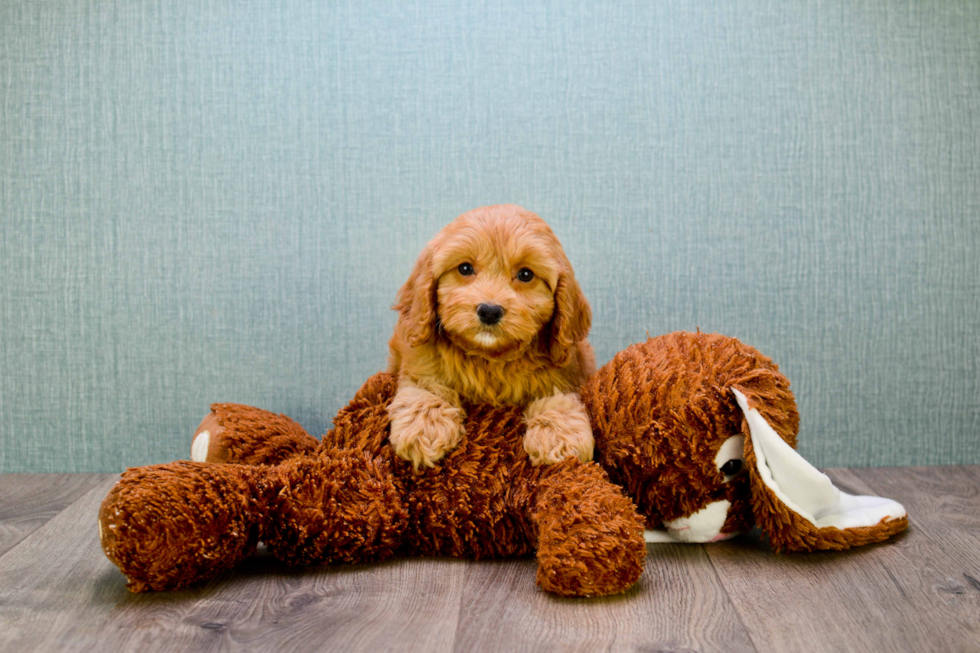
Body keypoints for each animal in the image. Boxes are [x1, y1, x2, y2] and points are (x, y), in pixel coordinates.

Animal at [386, 206, 592, 466]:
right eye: (465, 268)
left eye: (526, 274)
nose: (489, 311)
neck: (489, 358)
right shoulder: (421, 362)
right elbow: (426, 387)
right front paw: (424, 425)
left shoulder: (566, 372)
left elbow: (558, 397)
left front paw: (561, 434)